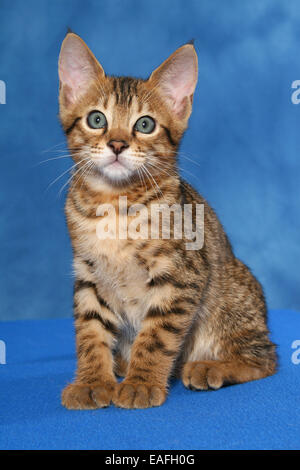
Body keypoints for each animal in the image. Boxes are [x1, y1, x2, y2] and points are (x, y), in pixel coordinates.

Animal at [58, 33, 276, 408]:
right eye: (97, 120)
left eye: (144, 124)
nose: (117, 144)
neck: (114, 203)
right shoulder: (88, 276)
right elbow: (90, 331)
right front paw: (92, 381)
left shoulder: (182, 275)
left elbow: (157, 335)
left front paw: (142, 383)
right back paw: (121, 364)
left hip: (230, 300)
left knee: (266, 357)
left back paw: (209, 367)